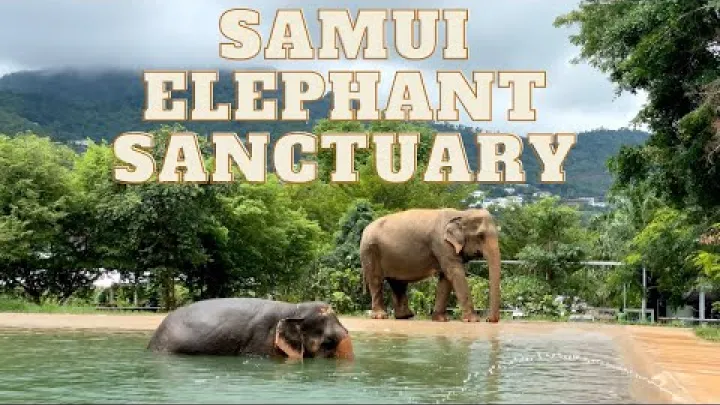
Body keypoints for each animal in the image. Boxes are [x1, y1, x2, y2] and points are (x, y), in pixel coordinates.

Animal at [359, 208, 501, 323]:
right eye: (481, 236)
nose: (489, 319)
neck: (462, 213)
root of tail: (365, 229)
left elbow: (446, 279)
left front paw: (441, 320)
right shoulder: (441, 244)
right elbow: (455, 273)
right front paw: (473, 320)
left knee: (398, 284)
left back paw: (405, 316)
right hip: (370, 251)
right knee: (376, 280)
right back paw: (381, 316)